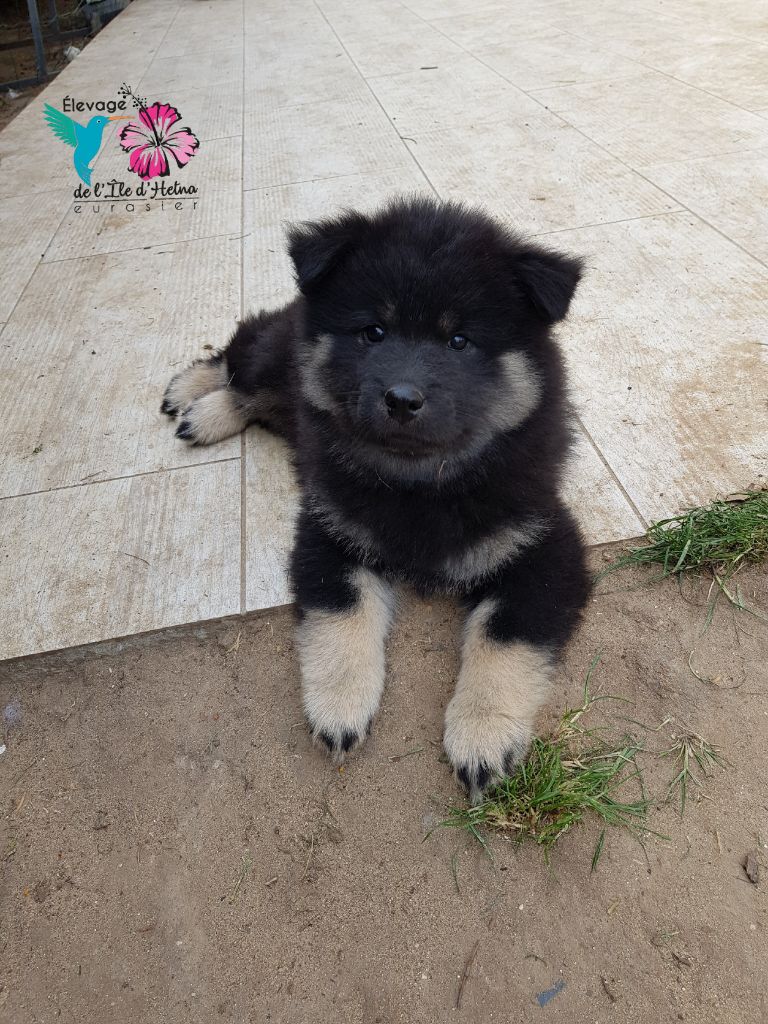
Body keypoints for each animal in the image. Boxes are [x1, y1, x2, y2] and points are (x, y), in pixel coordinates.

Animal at [161, 196, 591, 802]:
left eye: (459, 341)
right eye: (374, 332)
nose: (402, 399)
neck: (422, 483)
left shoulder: (544, 548)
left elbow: (503, 641)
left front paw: (482, 735)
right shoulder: (330, 530)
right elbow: (343, 616)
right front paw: (340, 708)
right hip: (278, 355)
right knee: (238, 361)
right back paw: (192, 398)